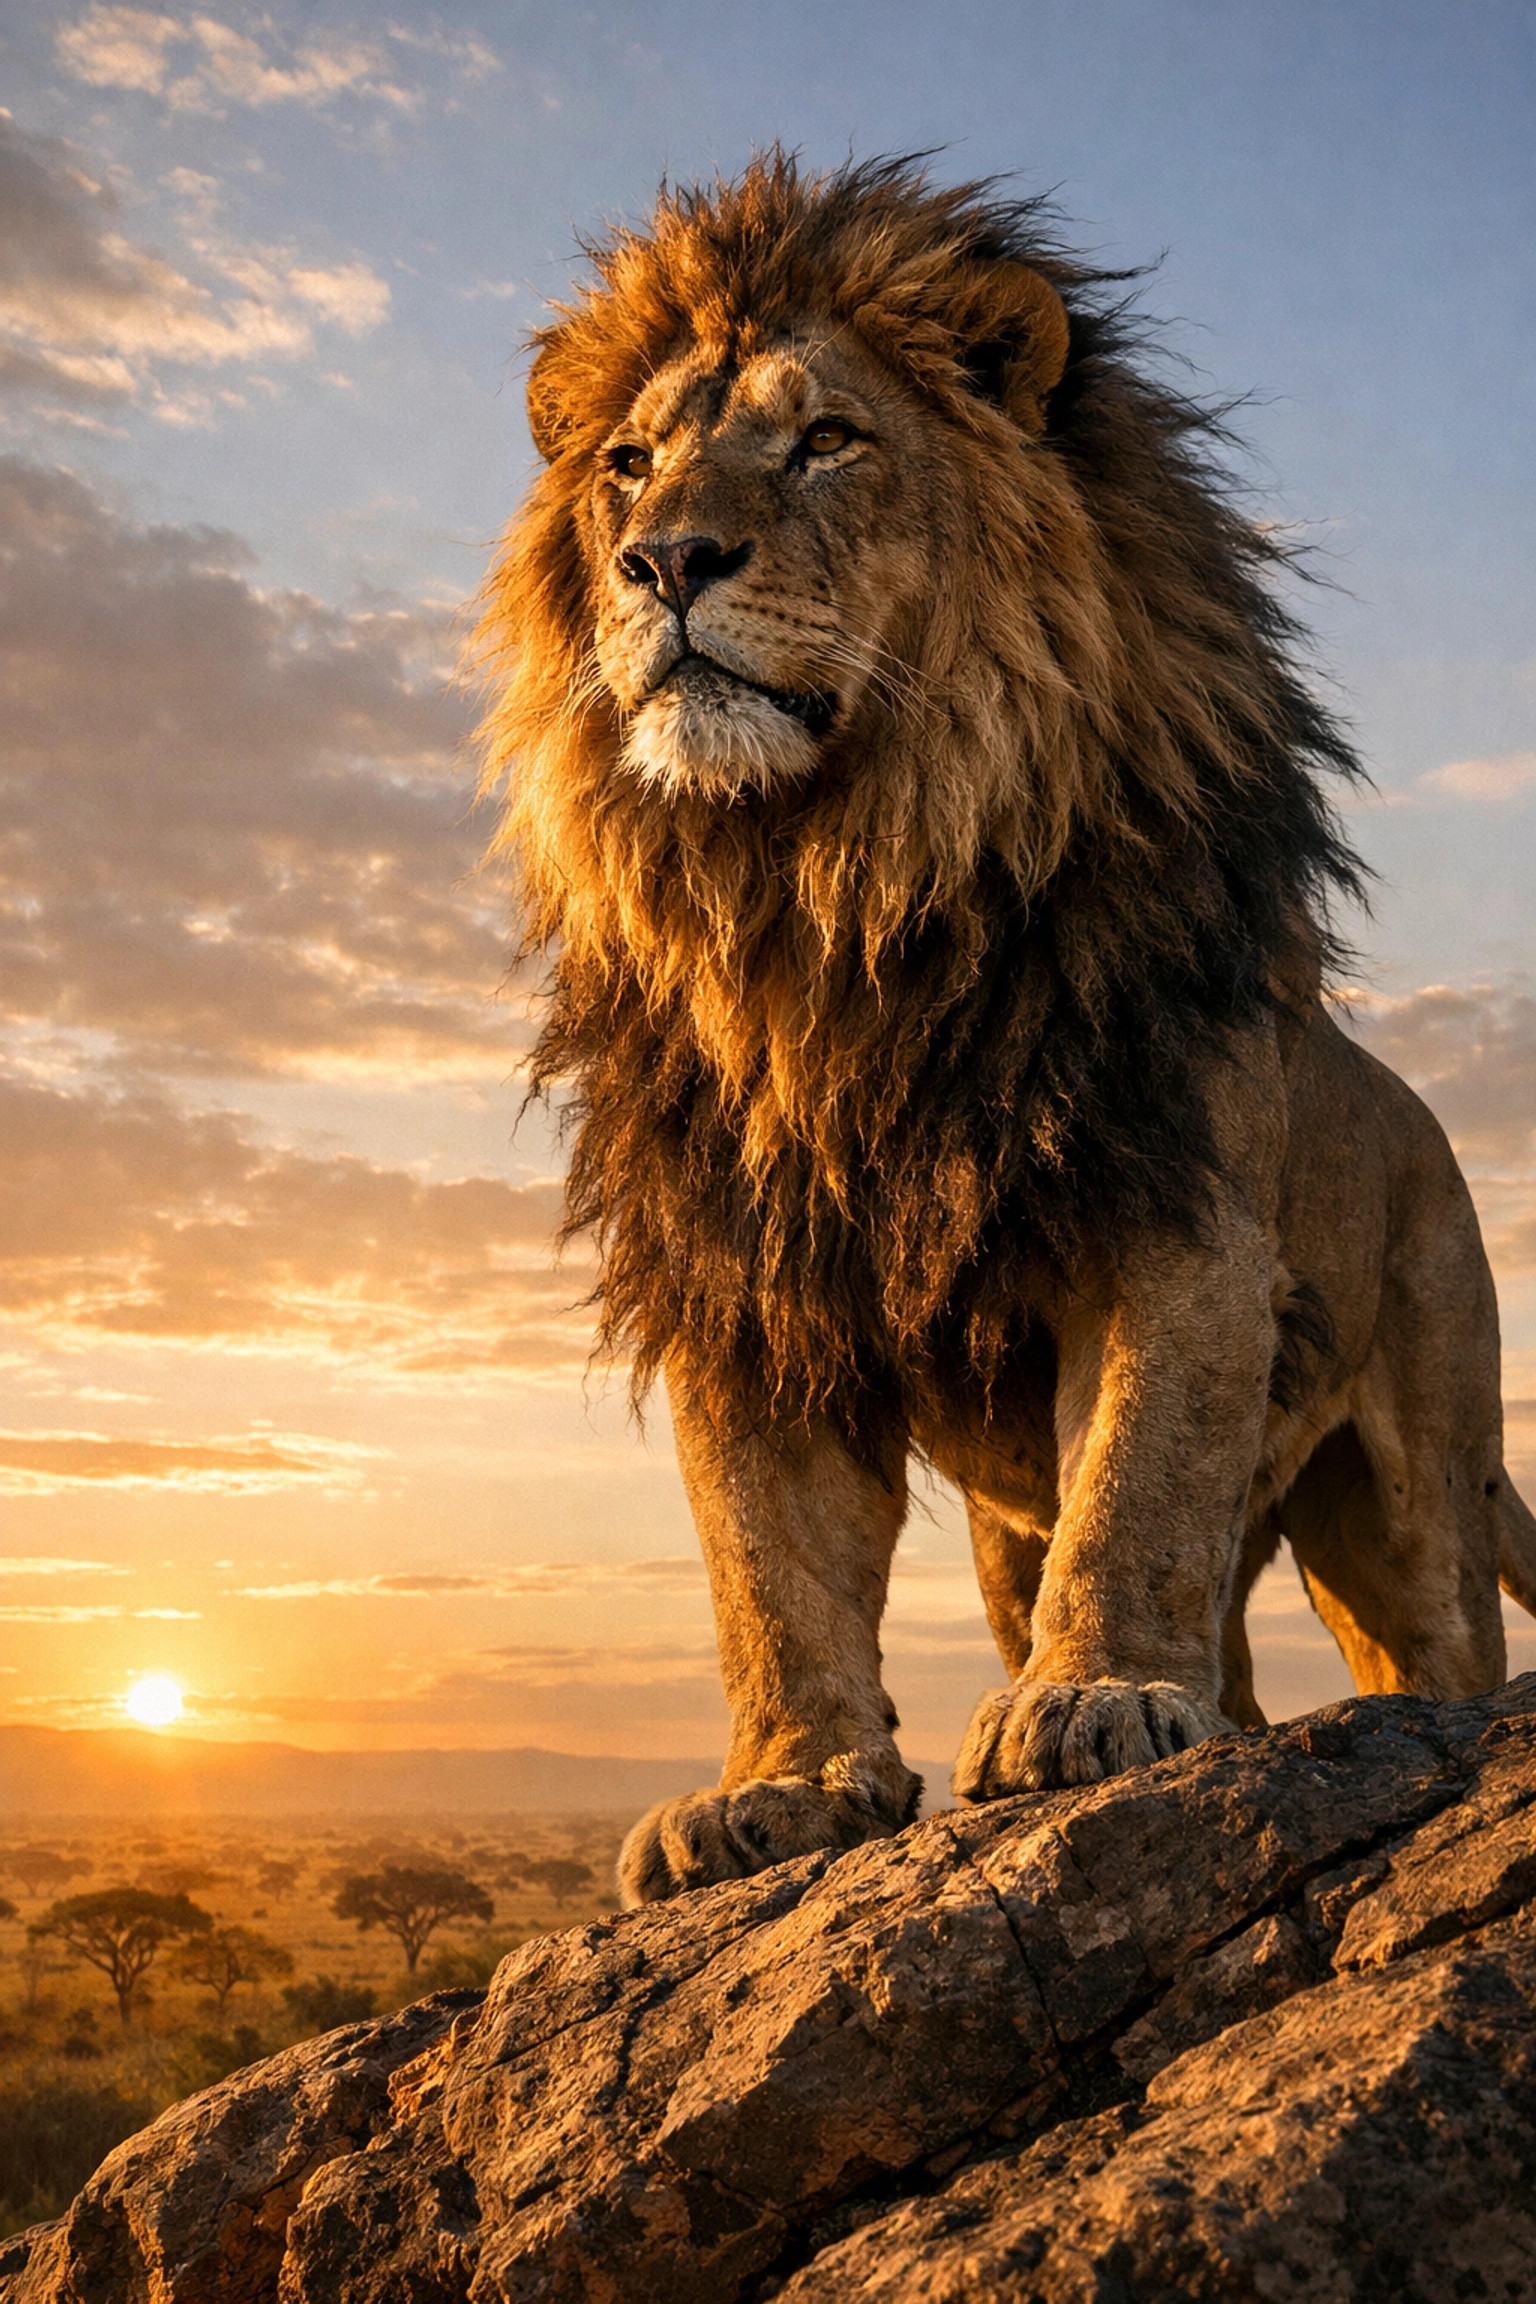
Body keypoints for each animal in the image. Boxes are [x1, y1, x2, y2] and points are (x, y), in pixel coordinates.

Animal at [476, 154, 1536, 1906]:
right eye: (630, 466)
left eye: (827, 440)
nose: (664, 561)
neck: (829, 898)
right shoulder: (744, 1284)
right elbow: (766, 1571)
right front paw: (782, 1788)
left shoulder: (1174, 1221)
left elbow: (1139, 1483)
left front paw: (1092, 1699)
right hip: (1002, 1531)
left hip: (1417, 1487)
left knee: (1435, 1644)